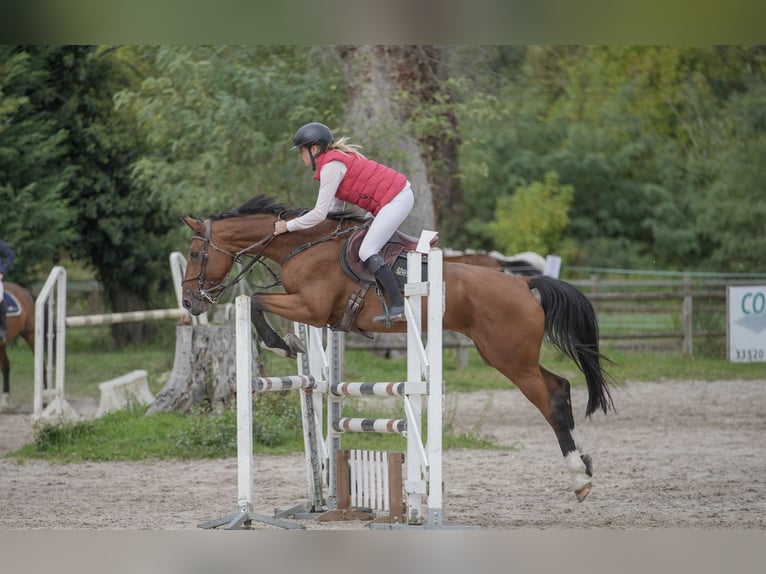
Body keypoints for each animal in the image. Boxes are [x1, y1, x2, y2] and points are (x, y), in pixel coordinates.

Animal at [178, 197, 612, 504]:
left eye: (196, 254)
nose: (189, 303)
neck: (303, 245)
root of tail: (523, 284)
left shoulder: (311, 308)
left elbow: (254, 303)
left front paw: (284, 343)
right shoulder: (314, 312)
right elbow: (258, 304)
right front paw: (290, 343)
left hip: (509, 358)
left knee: (551, 398)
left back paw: (579, 478)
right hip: (510, 356)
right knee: (561, 386)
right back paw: (585, 466)